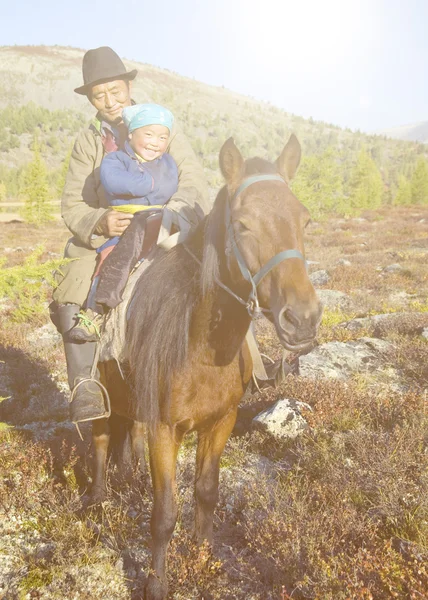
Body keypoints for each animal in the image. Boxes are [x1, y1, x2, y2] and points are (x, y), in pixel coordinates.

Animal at [93, 136, 320, 600]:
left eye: (304, 220)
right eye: (243, 224)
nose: (303, 319)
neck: (198, 345)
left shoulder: (221, 421)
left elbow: (206, 492)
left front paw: (201, 557)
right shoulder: (165, 430)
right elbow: (164, 514)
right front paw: (156, 583)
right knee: (101, 438)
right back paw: (97, 500)